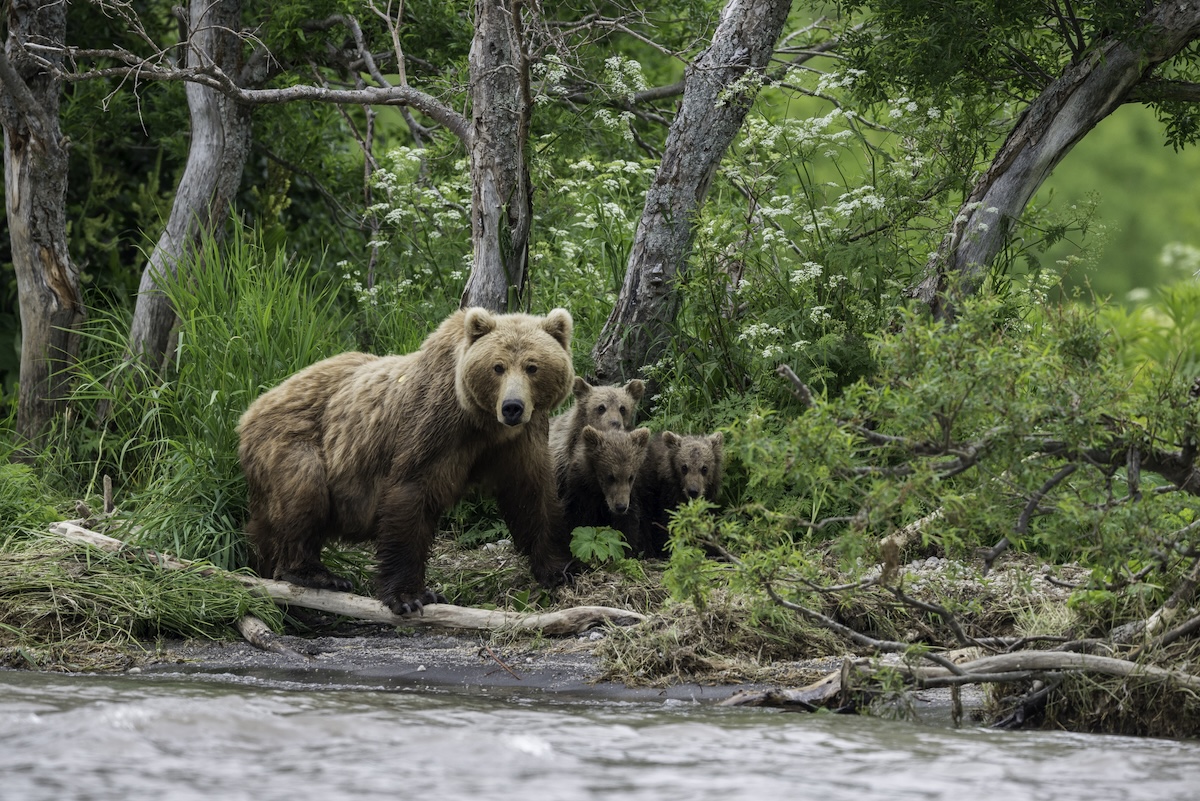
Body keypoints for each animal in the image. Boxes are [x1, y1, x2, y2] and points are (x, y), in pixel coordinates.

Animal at [237, 306, 577, 615]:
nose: (512, 407)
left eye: (532, 367)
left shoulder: (521, 439)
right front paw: (410, 596)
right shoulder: (433, 427)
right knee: (303, 491)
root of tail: (252, 408)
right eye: (498, 367)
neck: (482, 425)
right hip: (290, 440)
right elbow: (411, 494)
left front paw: (560, 568)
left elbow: (532, 494)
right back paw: (315, 574)